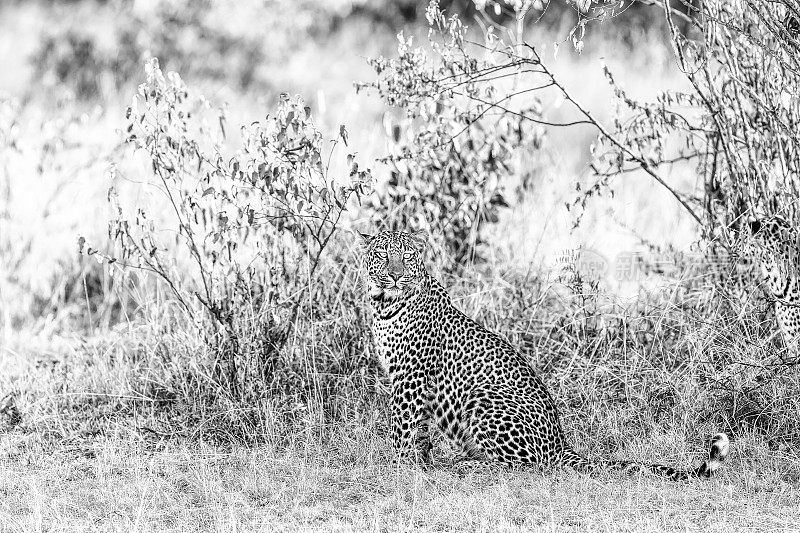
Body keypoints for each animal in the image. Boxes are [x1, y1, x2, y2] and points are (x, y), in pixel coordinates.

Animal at [362, 231, 732, 480]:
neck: (384, 304)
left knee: (522, 464)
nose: (395, 274)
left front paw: (398, 465)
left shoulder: (410, 376)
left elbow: (401, 426)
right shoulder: (408, 379)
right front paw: (418, 462)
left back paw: (466, 464)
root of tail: (560, 444)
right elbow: (418, 430)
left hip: (484, 395)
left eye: (406, 256)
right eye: (381, 255)